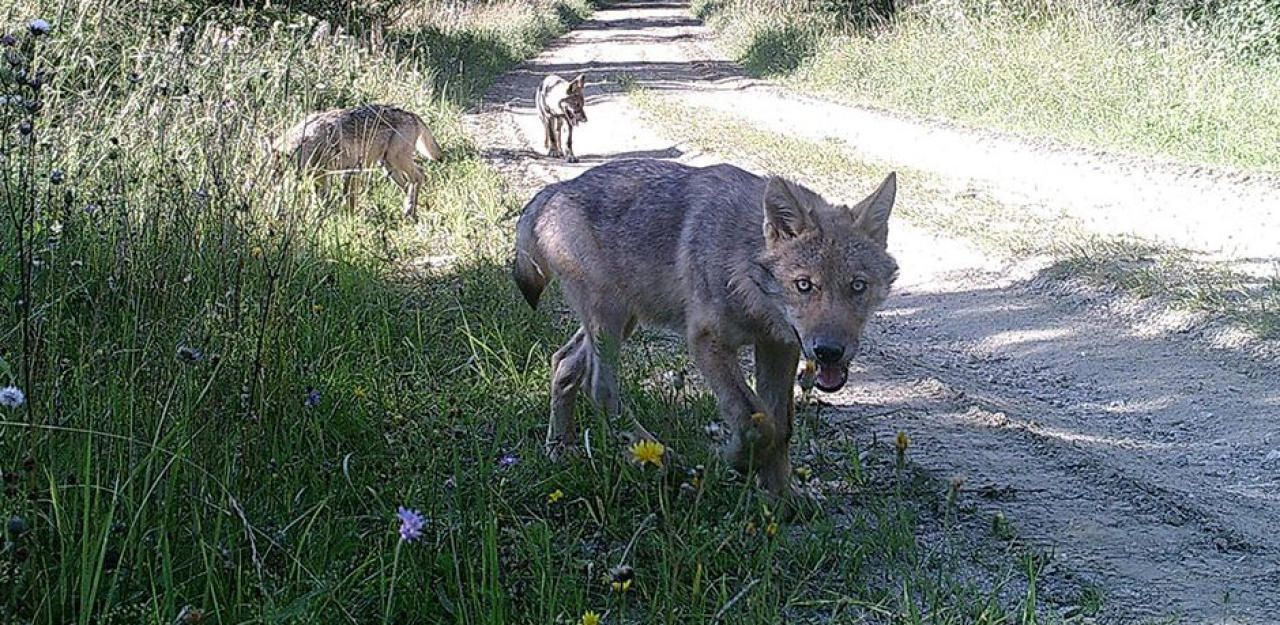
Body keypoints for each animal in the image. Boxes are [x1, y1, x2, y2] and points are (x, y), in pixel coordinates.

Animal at [271, 104, 443, 220]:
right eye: (273, 178)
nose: (275, 213)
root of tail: (411, 114)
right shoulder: (327, 176)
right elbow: (323, 200)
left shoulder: (349, 170)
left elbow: (348, 201)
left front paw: (348, 220)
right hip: (388, 167)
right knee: (408, 184)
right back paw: (407, 210)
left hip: (397, 161)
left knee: (420, 175)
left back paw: (410, 211)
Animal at [513, 158, 898, 497]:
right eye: (805, 285)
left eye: (857, 286)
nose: (829, 352)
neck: (745, 273)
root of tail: (555, 189)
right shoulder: (706, 340)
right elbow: (756, 422)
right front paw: (734, 460)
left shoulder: (779, 346)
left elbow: (781, 426)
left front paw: (783, 501)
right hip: (610, 320)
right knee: (600, 389)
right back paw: (666, 460)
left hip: (623, 322)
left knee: (563, 362)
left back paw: (560, 450)